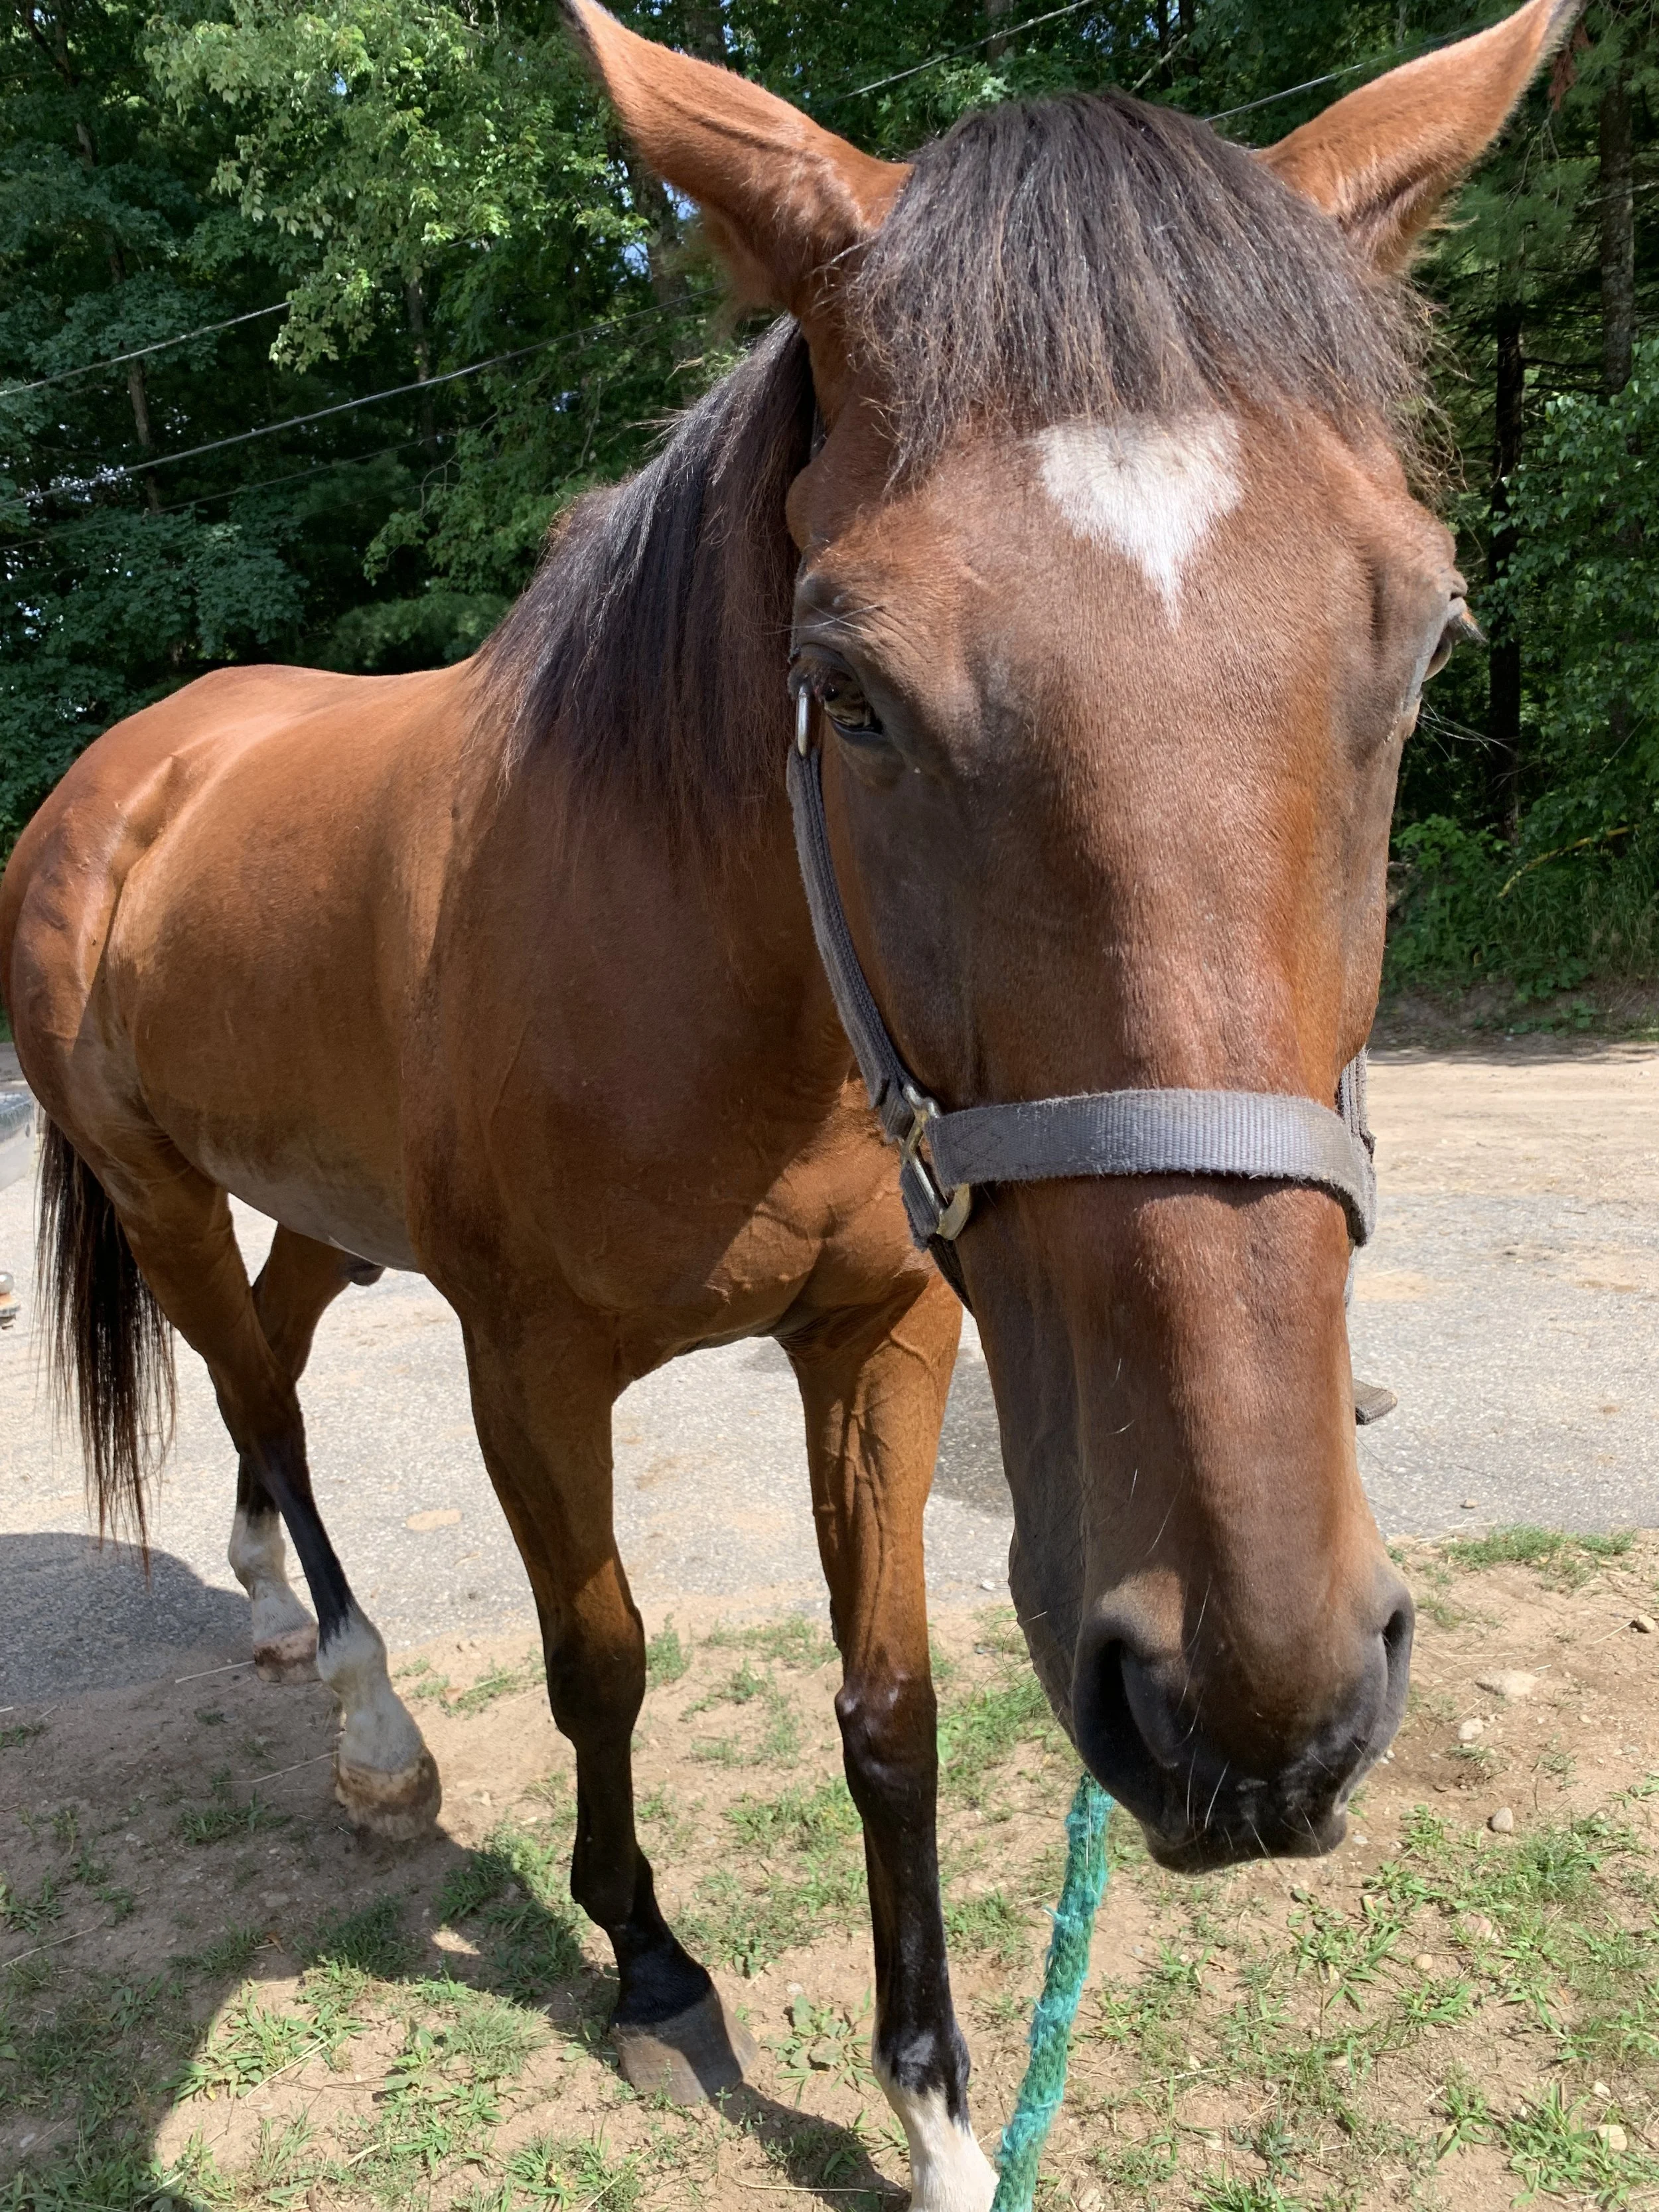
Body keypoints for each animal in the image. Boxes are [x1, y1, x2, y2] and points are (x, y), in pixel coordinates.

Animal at [0, 0, 1572, 2199]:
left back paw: (271, 1611)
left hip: (315, 1198)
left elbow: (890, 1699)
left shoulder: (877, 1335)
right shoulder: (525, 1361)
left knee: (278, 1363)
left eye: (1422, 641)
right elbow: (600, 1655)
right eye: (849, 688)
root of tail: (130, 769)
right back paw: (371, 1717)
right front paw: (650, 1966)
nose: (1250, 1704)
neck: (701, 964)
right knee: (257, 1395)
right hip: (150, 1184)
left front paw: (937, 2107)